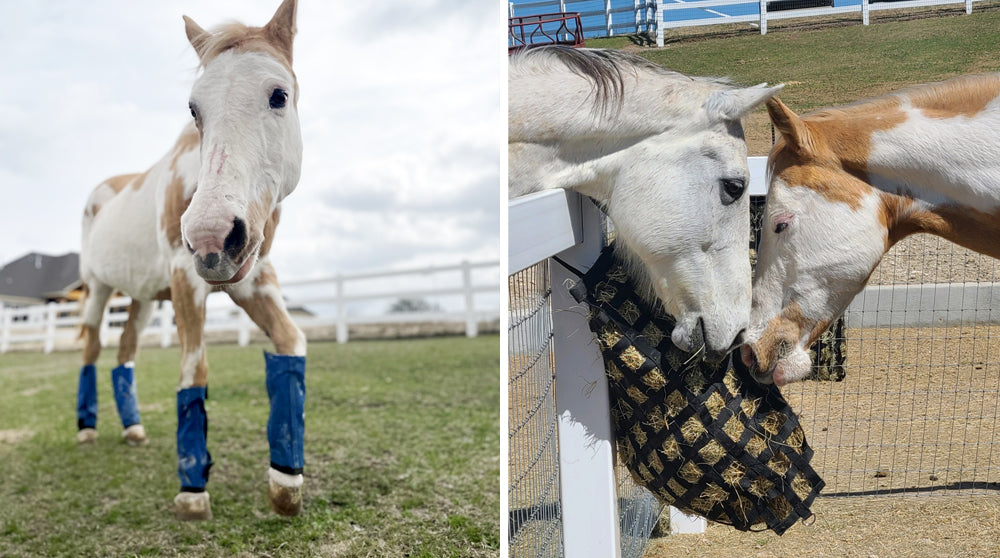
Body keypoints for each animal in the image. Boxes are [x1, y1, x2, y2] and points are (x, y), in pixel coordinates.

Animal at [78, 0, 306, 524]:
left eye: (279, 95)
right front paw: (192, 492)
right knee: (92, 349)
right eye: (193, 109)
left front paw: (286, 482)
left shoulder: (254, 279)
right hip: (98, 290)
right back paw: (86, 429)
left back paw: (133, 429)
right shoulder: (187, 280)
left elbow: (290, 343)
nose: (210, 235)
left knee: (124, 353)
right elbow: (193, 370)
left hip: (141, 299)